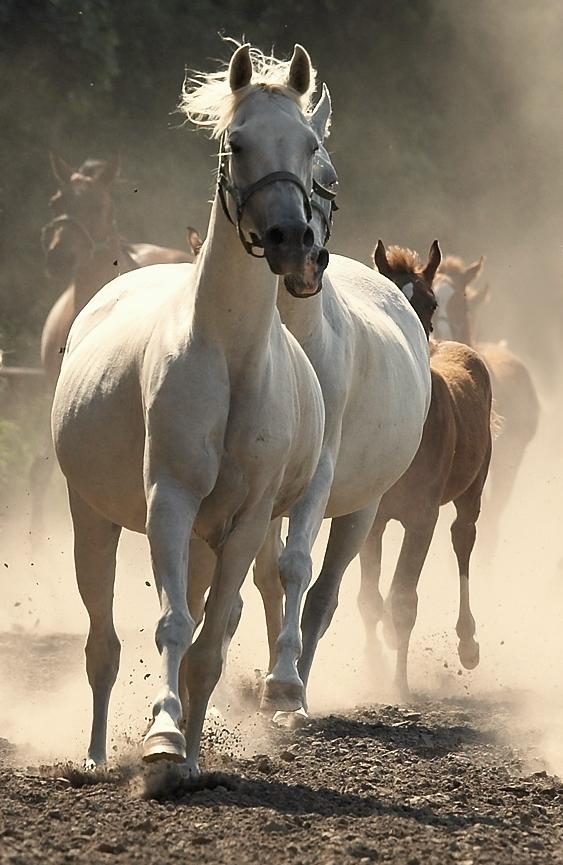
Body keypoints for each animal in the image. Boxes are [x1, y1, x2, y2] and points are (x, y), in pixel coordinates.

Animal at [53, 44, 328, 772]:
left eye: (309, 143)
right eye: (237, 143)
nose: (290, 238)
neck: (230, 355)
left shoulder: (244, 523)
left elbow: (208, 649)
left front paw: (192, 755)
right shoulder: (169, 503)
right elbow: (173, 625)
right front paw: (162, 738)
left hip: (208, 542)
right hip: (92, 519)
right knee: (101, 644)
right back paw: (95, 756)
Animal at [362, 241, 494, 696]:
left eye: (430, 302)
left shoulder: (422, 516)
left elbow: (403, 600)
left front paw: (399, 685)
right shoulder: (372, 519)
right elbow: (370, 600)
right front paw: (376, 672)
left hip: (472, 491)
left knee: (463, 538)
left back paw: (469, 644)